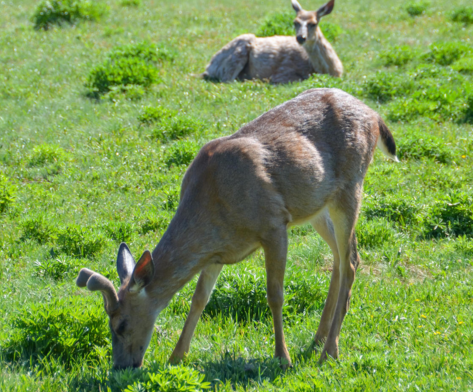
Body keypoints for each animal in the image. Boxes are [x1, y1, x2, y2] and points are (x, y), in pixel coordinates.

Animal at [75, 88, 396, 368]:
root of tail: (374, 114)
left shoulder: (274, 224)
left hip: (351, 187)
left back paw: (329, 352)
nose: (121, 367)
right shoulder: (216, 251)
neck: (215, 200)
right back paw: (318, 339)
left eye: (121, 324)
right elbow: (198, 299)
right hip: (317, 206)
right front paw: (176, 357)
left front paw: (282, 358)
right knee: (342, 258)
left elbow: (275, 294)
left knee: (351, 261)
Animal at [200, 0, 342, 83]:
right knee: (227, 79)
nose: (301, 37)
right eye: (295, 22)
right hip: (236, 55)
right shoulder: (283, 73)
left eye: (313, 23)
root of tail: (209, 66)